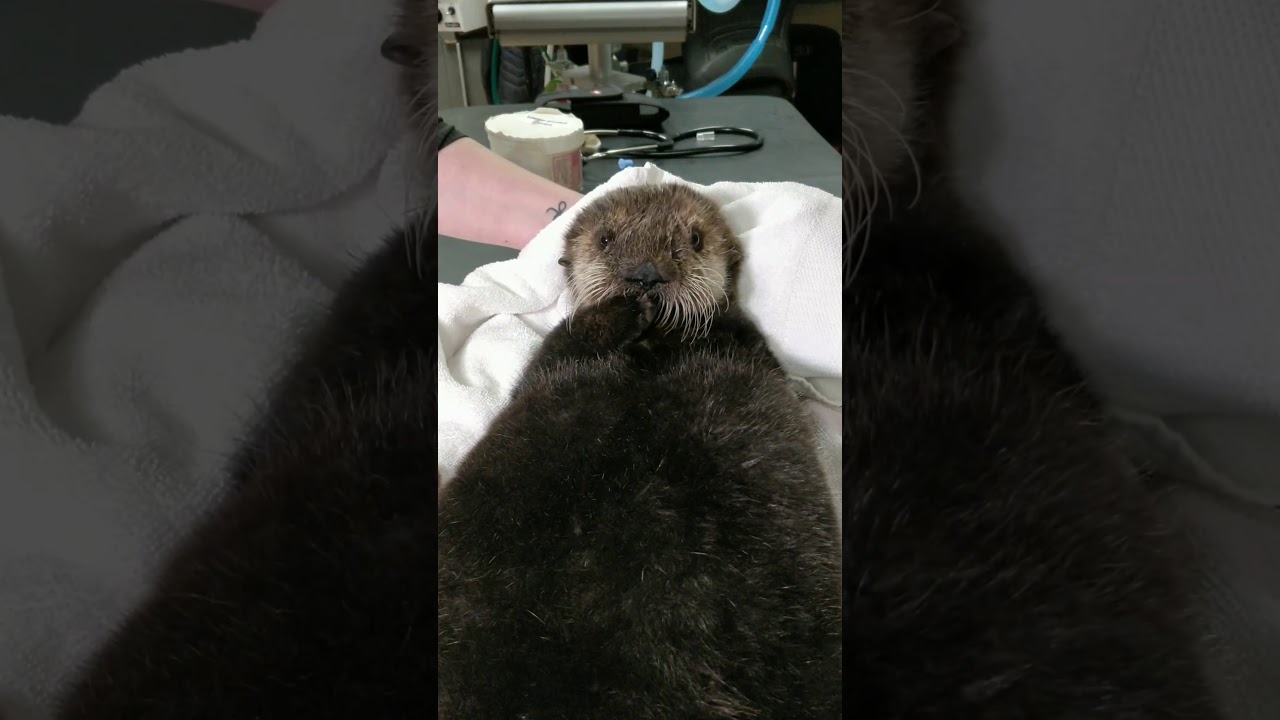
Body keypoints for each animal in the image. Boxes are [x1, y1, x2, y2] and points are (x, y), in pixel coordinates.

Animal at [437, 183, 842, 718]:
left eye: (695, 239)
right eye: (606, 239)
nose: (645, 276)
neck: (654, 349)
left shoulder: (742, 339)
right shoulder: (561, 349)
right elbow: (575, 335)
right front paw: (626, 309)